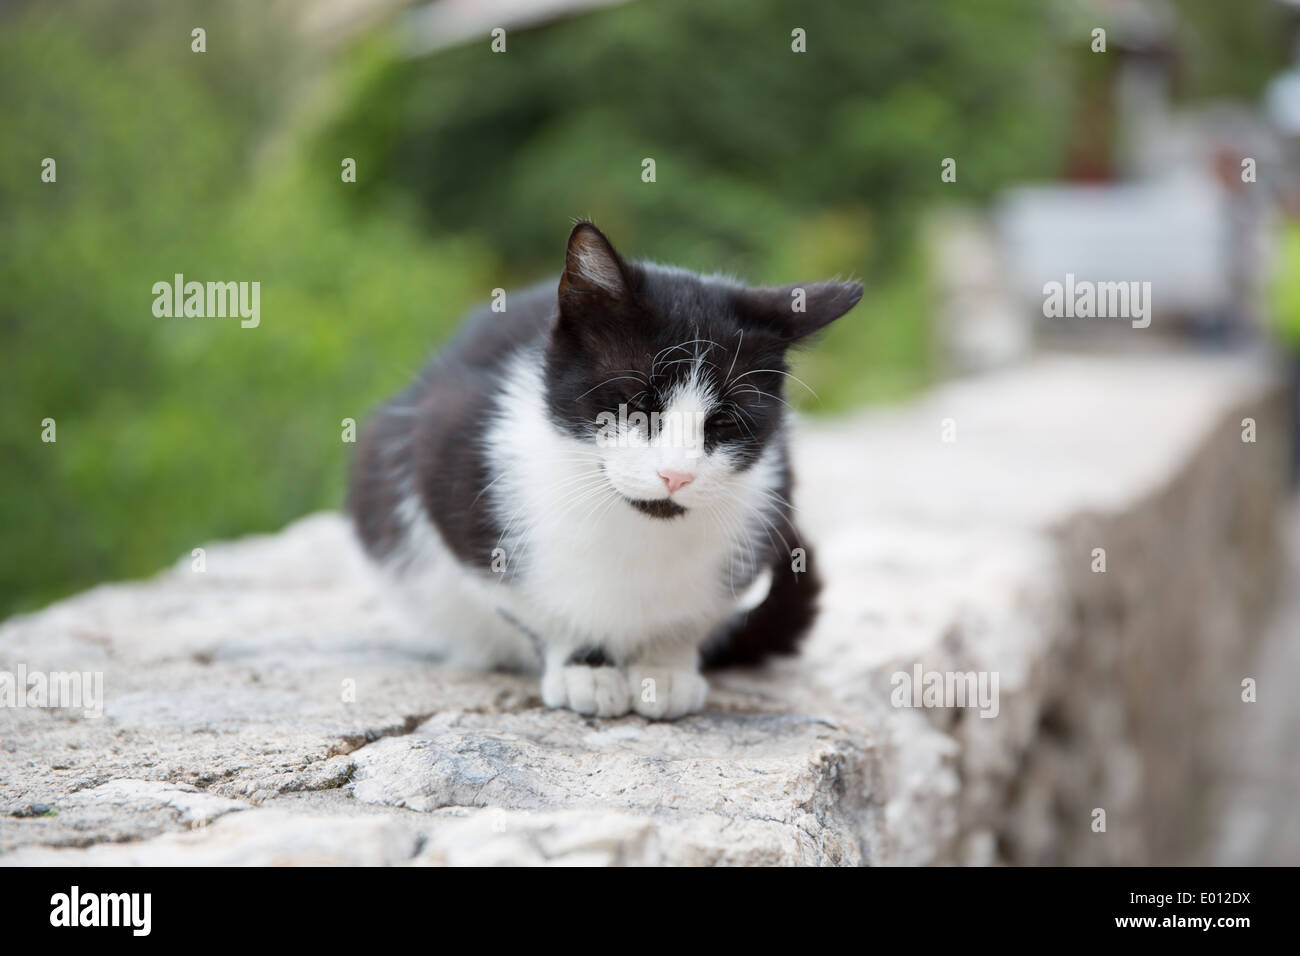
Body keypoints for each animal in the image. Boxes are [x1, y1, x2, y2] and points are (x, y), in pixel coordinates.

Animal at [348, 222, 863, 717]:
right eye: (635, 406)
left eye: (723, 422)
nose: (676, 475)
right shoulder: (447, 454)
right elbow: (534, 606)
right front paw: (585, 669)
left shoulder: (772, 491)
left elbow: (693, 617)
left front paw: (665, 666)